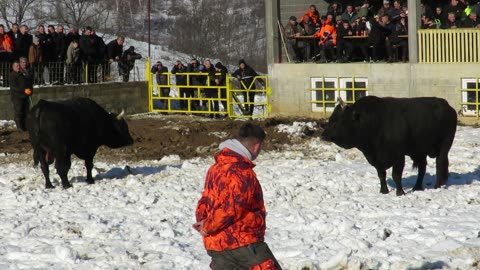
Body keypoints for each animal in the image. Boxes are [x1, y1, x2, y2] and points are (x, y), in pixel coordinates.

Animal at [322, 96, 458, 195]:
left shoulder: (399, 157)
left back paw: (437, 186)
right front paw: (384, 191)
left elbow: (396, 175)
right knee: (422, 168)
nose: (323, 135)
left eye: (337, 120)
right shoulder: (376, 160)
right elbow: (381, 175)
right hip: (420, 151)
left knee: (440, 164)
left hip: (445, 145)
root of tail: (448, 107)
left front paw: (400, 192)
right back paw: (417, 187)